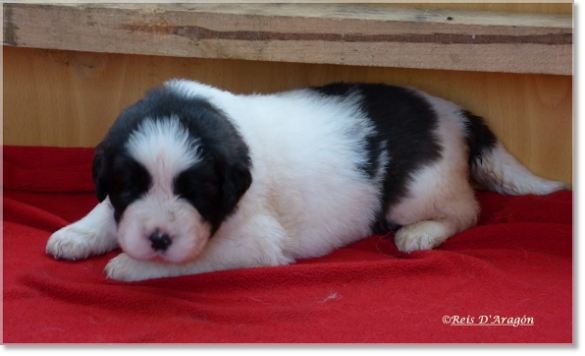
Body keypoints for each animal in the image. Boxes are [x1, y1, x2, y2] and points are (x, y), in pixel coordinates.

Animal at [48, 80, 568, 280]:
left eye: (196, 194)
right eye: (128, 187)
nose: (157, 237)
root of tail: (454, 114)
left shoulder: (255, 243)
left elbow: (190, 260)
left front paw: (129, 266)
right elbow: (103, 211)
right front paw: (76, 234)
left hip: (417, 191)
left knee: (467, 210)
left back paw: (419, 234)